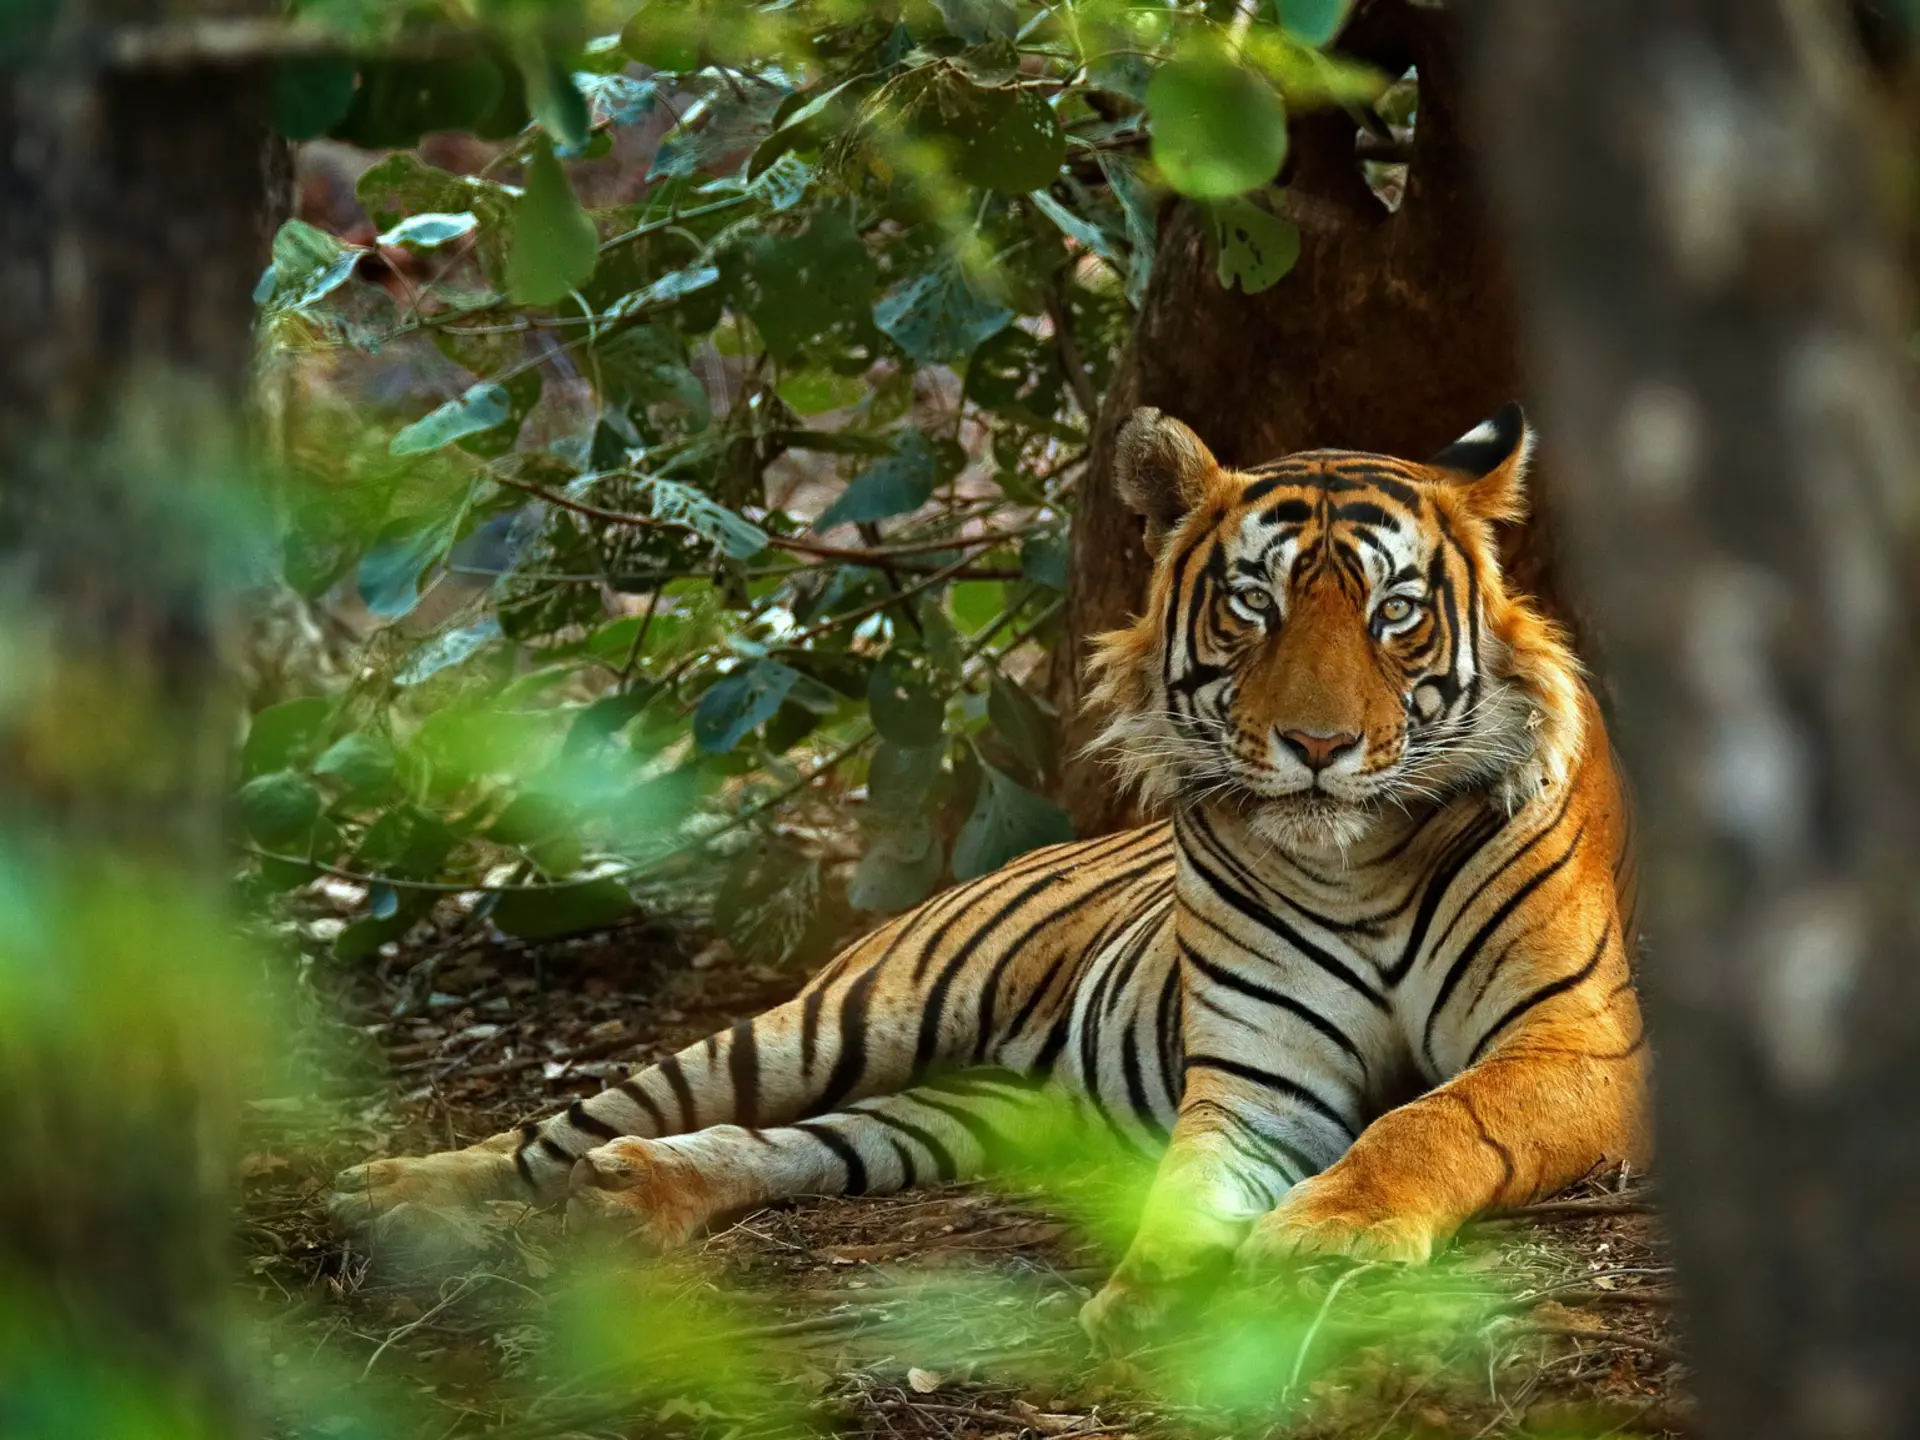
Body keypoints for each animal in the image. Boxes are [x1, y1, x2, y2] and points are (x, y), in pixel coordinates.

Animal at [331, 403, 1649, 1347]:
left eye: (1396, 615)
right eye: (1253, 606)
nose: (1317, 747)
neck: (1358, 863)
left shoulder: (1578, 1042)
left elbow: (1433, 1119)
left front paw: (1325, 1238)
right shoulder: (1257, 1081)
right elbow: (1191, 1188)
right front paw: (1153, 1298)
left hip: (970, 1111)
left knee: (799, 1144)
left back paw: (635, 1194)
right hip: (842, 1018)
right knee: (574, 1122)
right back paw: (394, 1189)